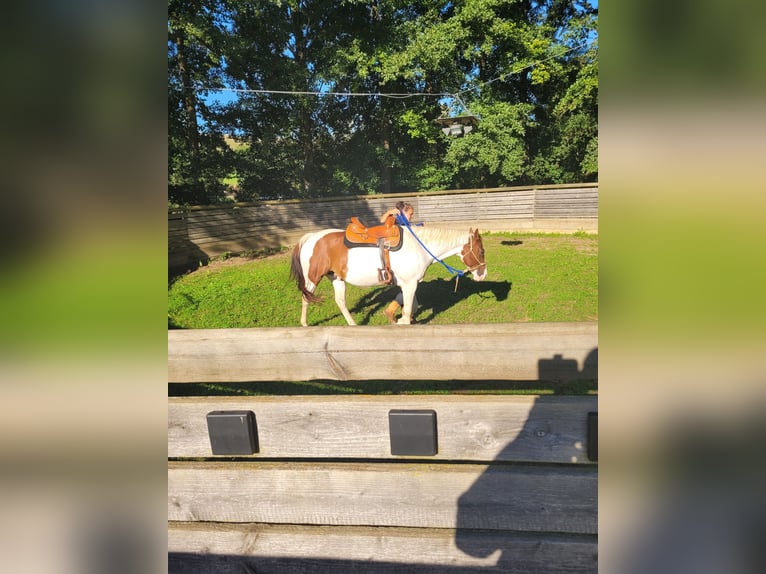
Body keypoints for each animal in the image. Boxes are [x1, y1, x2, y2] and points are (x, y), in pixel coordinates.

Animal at [290, 224, 488, 326]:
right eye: (482, 251)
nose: (483, 274)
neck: (418, 246)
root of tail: (310, 237)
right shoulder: (409, 284)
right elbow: (407, 310)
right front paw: (403, 321)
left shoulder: (409, 284)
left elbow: (410, 306)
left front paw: (397, 318)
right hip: (313, 279)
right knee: (305, 298)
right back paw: (304, 324)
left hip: (336, 278)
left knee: (340, 302)